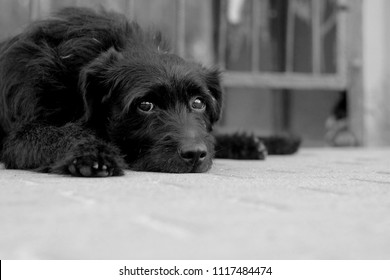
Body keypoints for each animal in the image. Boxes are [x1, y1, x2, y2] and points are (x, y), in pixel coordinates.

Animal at [0, 7, 222, 176]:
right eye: (145, 105)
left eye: (198, 102)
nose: (194, 153)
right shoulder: (20, 136)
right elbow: (58, 134)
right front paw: (93, 154)